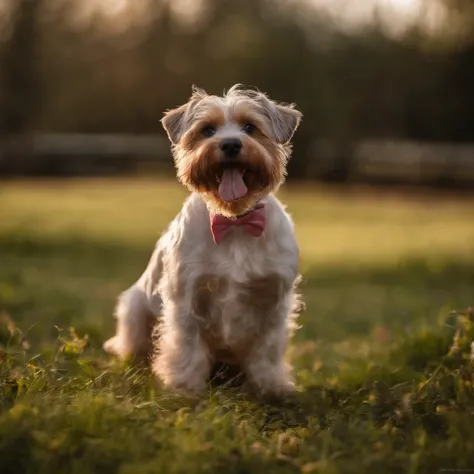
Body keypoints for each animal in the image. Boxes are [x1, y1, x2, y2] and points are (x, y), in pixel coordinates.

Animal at [103, 85, 304, 396]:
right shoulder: (188, 295)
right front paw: (184, 387)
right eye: (207, 130)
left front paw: (271, 385)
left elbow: (268, 348)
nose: (231, 144)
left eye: (250, 127)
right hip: (134, 306)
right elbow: (186, 346)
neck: (234, 220)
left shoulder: (273, 299)